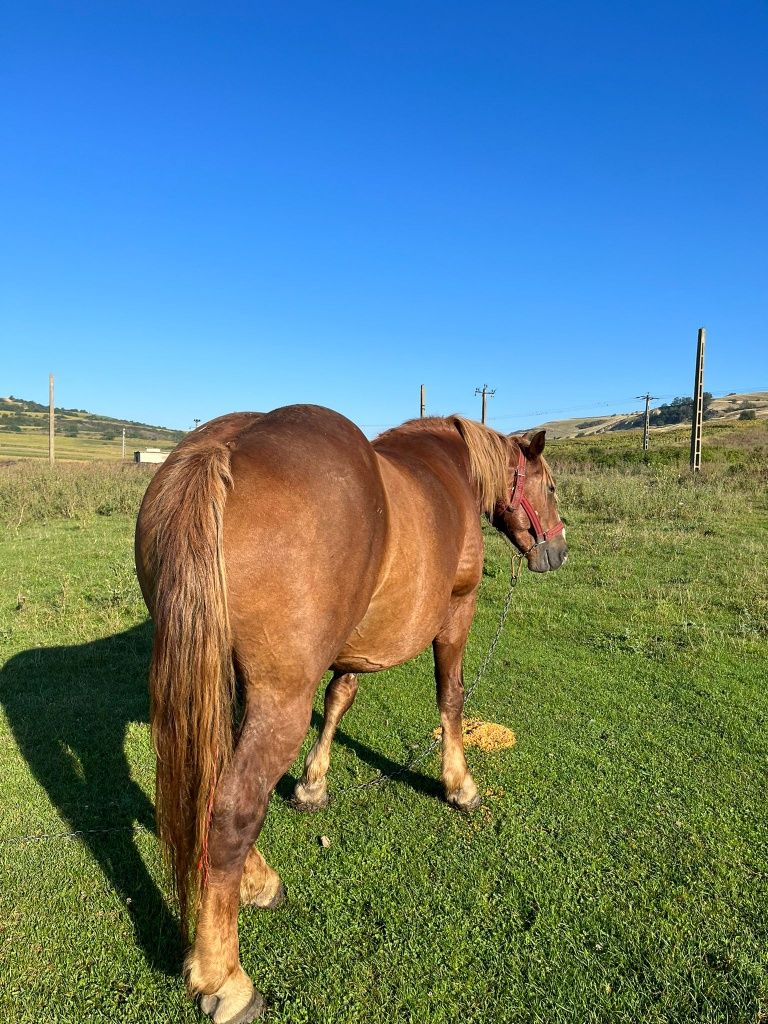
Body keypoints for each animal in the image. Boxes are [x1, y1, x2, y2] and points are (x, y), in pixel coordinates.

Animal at [135, 405, 565, 1024]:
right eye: (550, 486)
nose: (558, 550)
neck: (449, 470)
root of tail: (223, 448)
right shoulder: (457, 613)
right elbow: (451, 697)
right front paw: (459, 783)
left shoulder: (355, 640)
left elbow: (341, 697)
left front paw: (312, 784)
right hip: (279, 700)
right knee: (233, 811)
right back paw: (225, 977)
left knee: (214, 784)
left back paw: (256, 882)